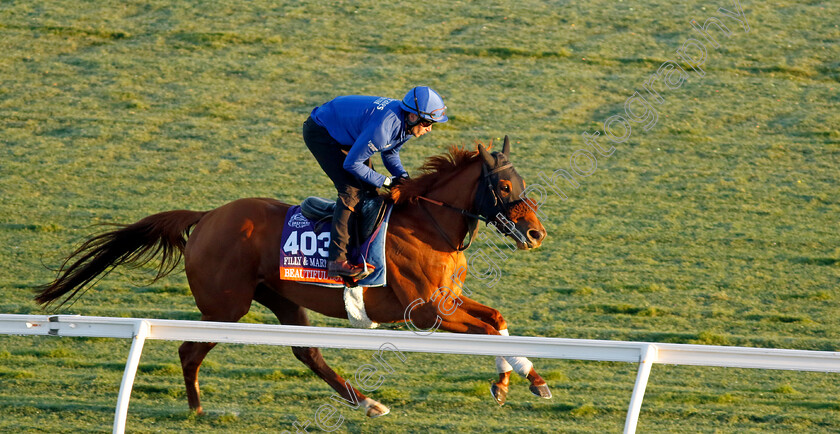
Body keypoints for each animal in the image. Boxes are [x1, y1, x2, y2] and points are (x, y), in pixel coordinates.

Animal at [36, 137, 552, 418]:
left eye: (523, 182)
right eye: (505, 185)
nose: (535, 232)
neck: (429, 226)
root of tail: (207, 217)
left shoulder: (448, 300)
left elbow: (496, 320)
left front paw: (516, 381)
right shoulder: (424, 313)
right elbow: (488, 329)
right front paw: (523, 381)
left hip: (281, 299)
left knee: (307, 352)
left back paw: (366, 402)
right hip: (227, 307)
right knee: (188, 350)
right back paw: (197, 408)